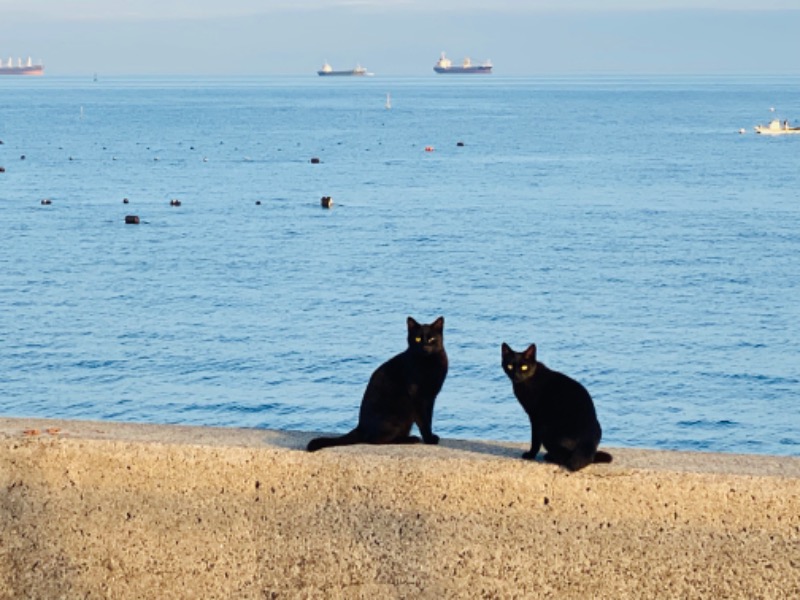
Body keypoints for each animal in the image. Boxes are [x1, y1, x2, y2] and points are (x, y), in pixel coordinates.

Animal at [306, 318, 446, 450]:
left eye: (432, 338)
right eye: (417, 339)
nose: (425, 347)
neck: (428, 362)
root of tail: (361, 426)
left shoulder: (430, 397)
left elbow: (429, 419)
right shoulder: (418, 397)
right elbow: (424, 422)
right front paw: (429, 439)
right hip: (398, 414)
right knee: (376, 440)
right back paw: (410, 439)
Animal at [500, 340, 612, 472]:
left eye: (524, 367)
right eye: (510, 366)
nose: (516, 375)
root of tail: (586, 441)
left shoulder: (535, 417)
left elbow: (535, 440)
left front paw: (530, 455)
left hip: (546, 430)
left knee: (565, 457)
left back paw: (549, 457)